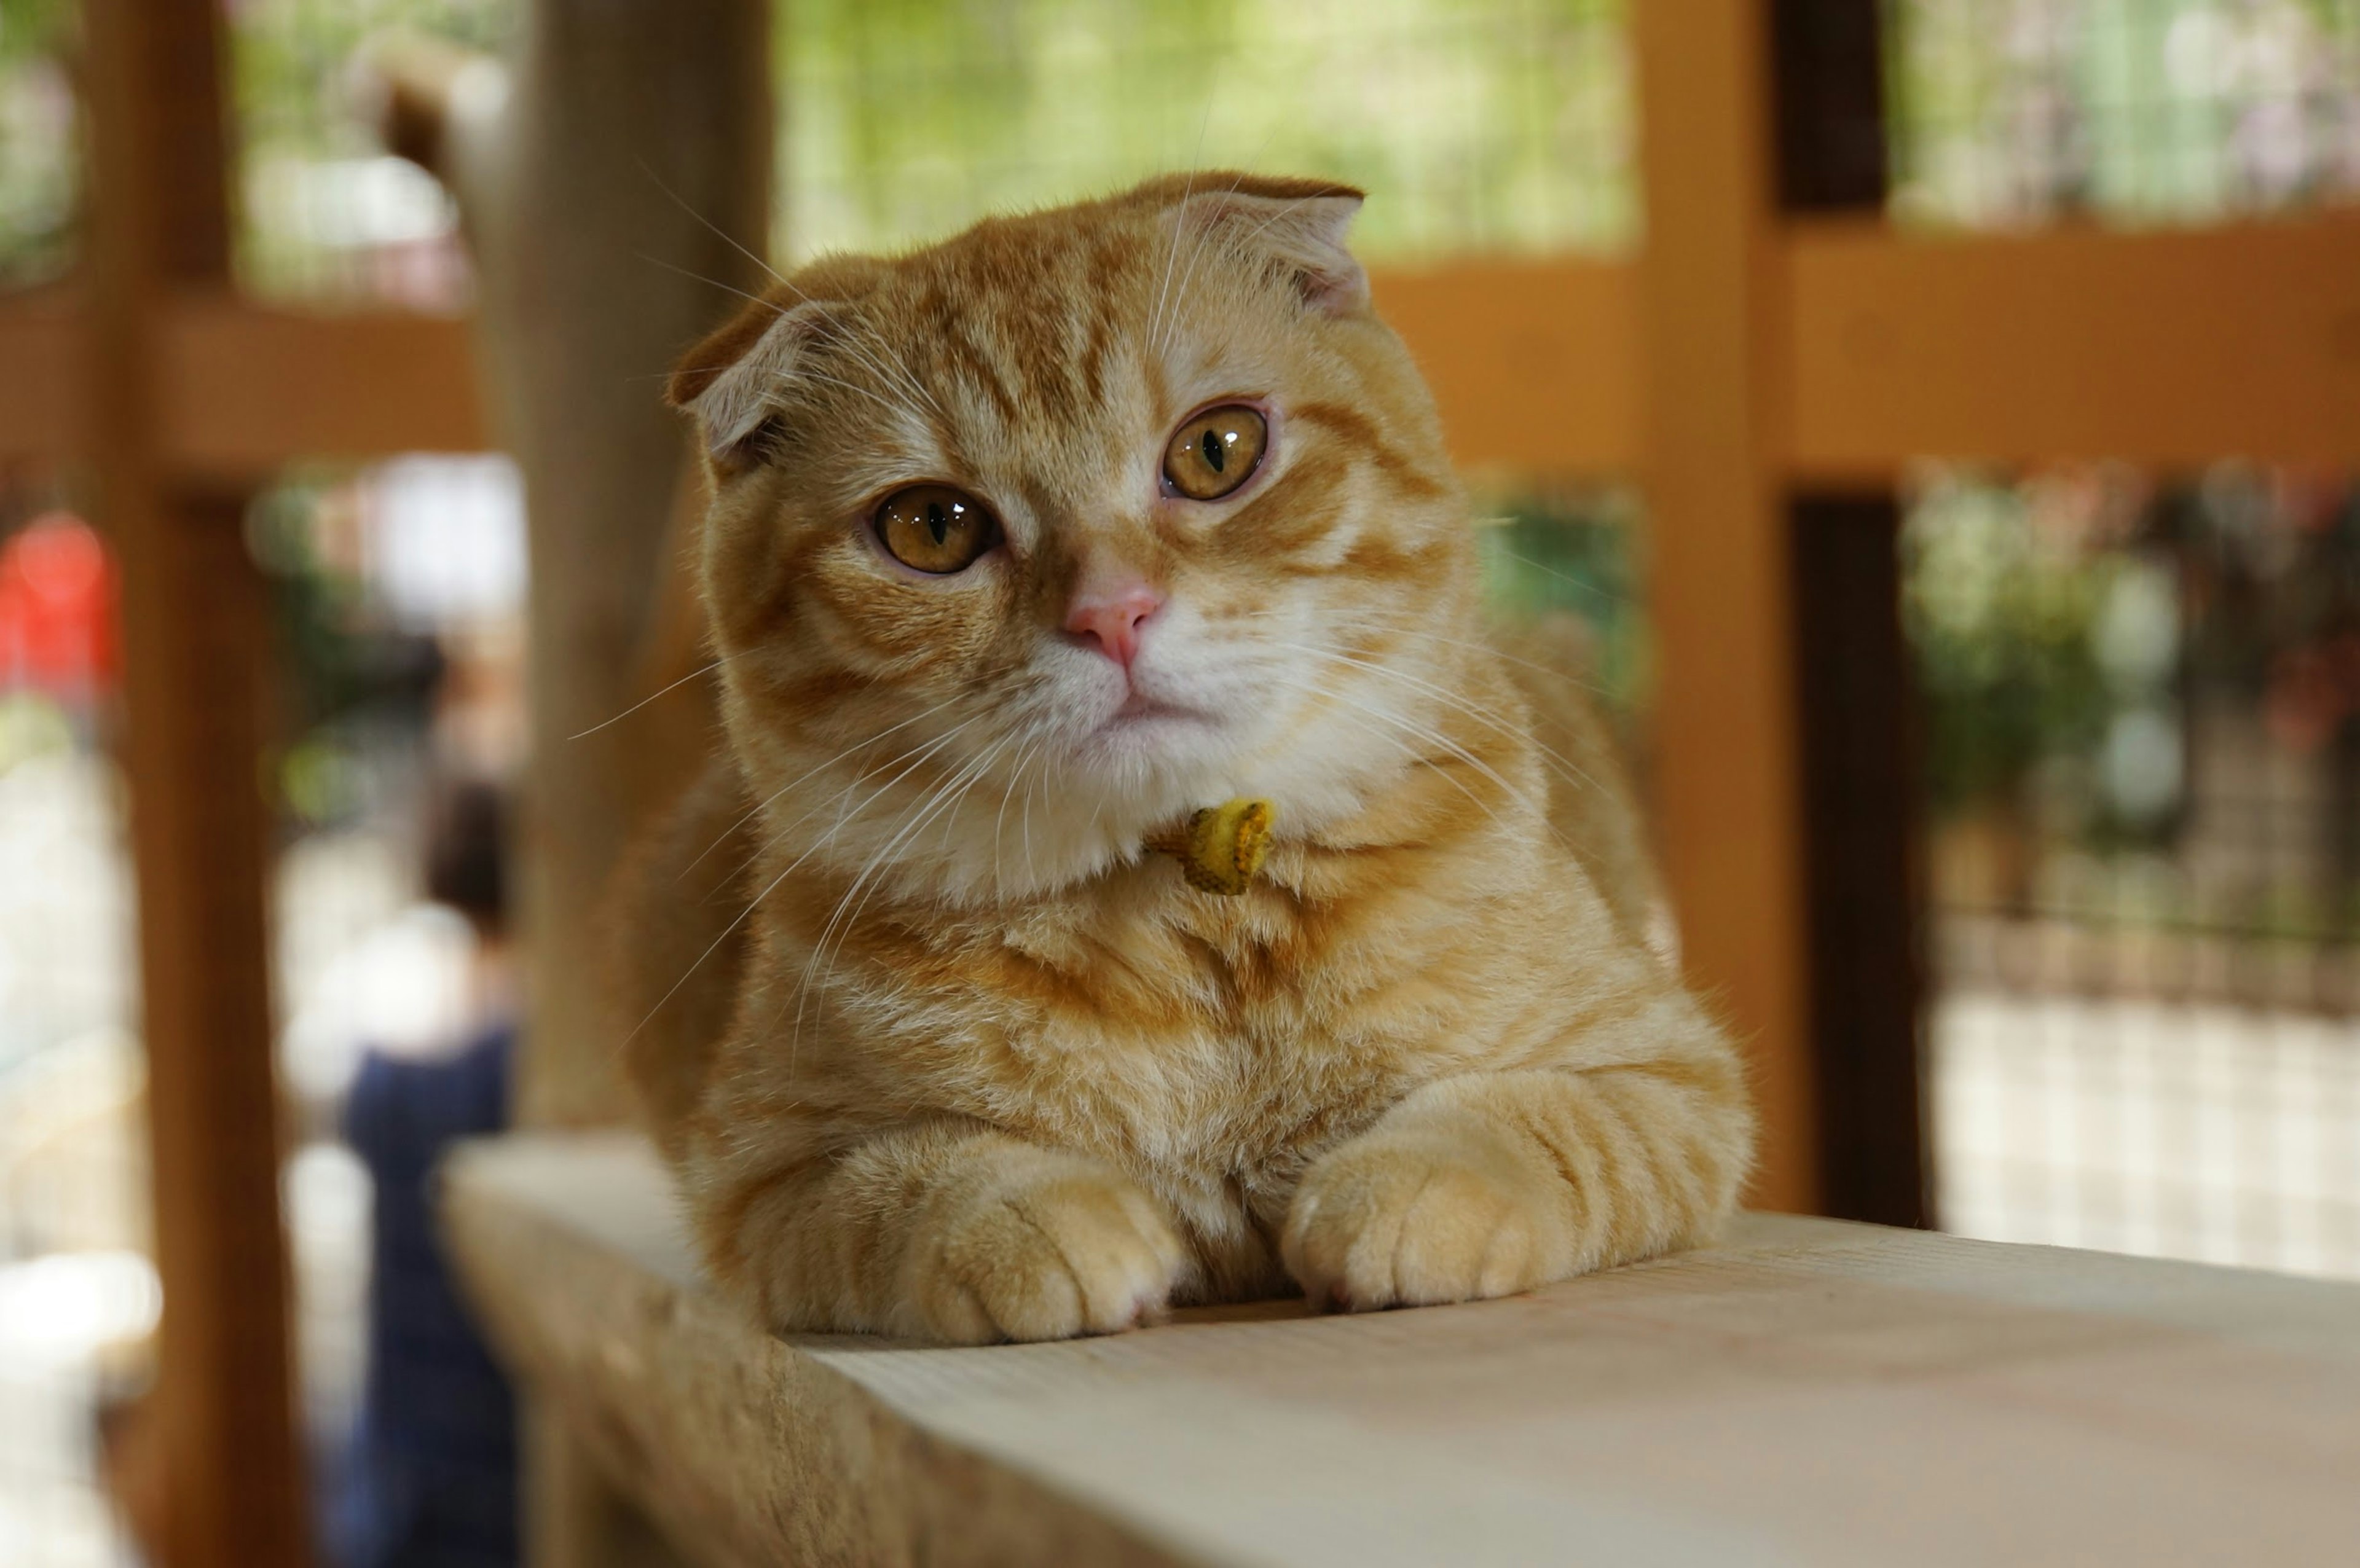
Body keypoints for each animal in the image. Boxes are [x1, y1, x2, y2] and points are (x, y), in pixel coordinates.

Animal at [613, 174, 1755, 1349]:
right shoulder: (765, 1175)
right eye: (932, 525)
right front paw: (1033, 1220)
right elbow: (918, 1178)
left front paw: (1410, 1189)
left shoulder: (1669, 1074)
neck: (1195, 926)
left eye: (1217, 450)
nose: (1112, 612)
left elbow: (1524, 1118)